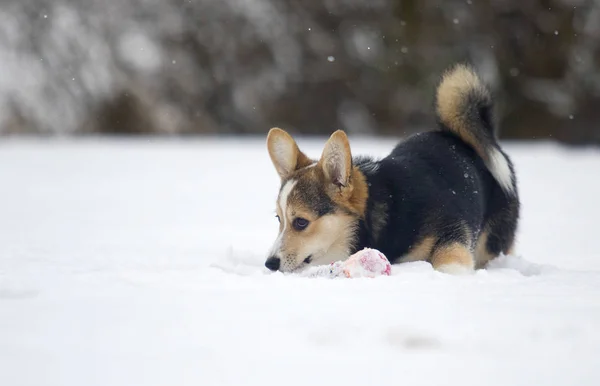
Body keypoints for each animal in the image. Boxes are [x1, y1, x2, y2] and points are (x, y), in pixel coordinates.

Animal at [264, 64, 516, 274]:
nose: (270, 264)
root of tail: (458, 136)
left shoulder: (452, 230)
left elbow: (448, 258)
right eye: (279, 219)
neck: (378, 214)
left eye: (301, 222)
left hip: (492, 241)